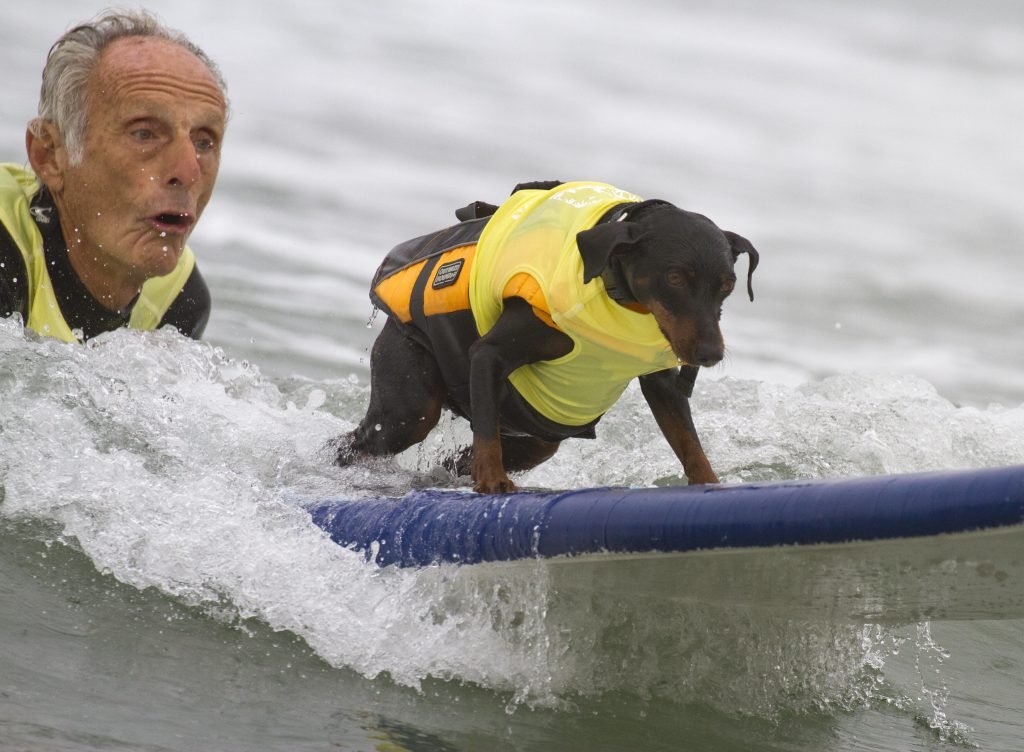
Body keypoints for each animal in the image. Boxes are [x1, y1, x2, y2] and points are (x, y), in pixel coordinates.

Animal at [331, 181, 757, 495]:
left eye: (728, 284)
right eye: (674, 278)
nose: (711, 354)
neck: (617, 292)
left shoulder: (662, 384)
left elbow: (689, 443)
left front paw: (710, 483)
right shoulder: (487, 356)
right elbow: (487, 439)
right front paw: (493, 481)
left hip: (533, 434)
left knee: (459, 460)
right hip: (411, 400)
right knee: (363, 441)